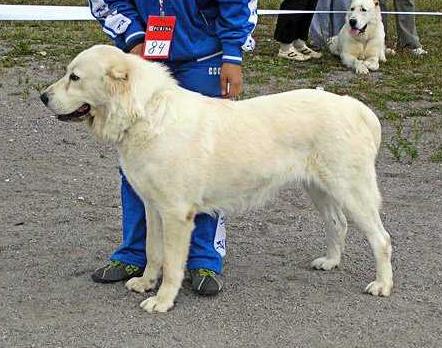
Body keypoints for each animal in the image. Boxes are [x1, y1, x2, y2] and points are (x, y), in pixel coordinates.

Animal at [41, 44, 394, 314]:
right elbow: (153, 252)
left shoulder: (176, 215)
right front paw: (145, 283)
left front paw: (163, 300)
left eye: (74, 77)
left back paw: (382, 285)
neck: (146, 114)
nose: (43, 97)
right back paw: (330, 262)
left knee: (381, 238)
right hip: (320, 189)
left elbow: (172, 263)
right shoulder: (153, 208)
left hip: (352, 191)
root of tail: (357, 107)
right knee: (338, 224)